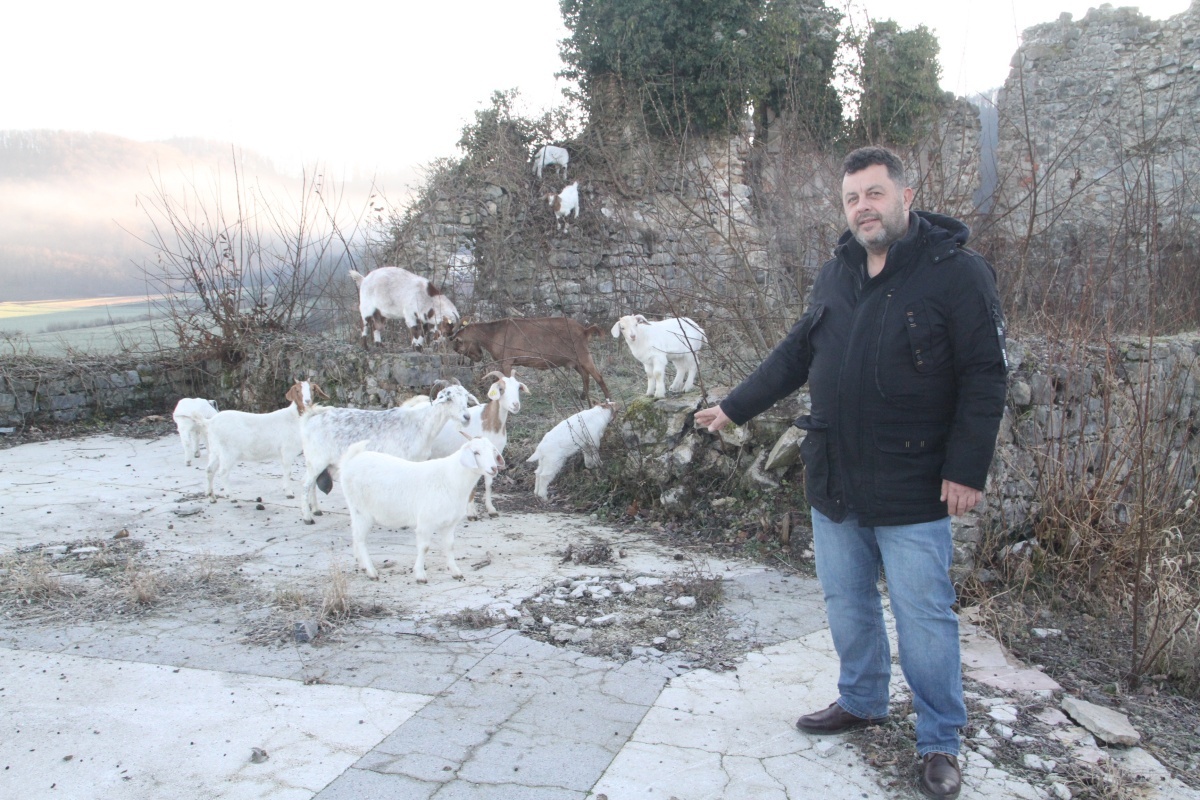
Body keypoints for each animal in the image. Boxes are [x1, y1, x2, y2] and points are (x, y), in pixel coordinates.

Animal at [194, 381, 331, 501]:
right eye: (297, 390)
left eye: (312, 389)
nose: (307, 401)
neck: (295, 417)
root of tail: (210, 422)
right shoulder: (287, 450)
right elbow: (288, 472)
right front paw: (289, 493)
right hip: (228, 452)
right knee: (223, 472)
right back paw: (231, 496)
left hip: (215, 450)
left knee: (209, 470)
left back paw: (211, 497)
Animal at [296, 381, 477, 525]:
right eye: (449, 398)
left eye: (466, 397)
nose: (466, 417)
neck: (420, 423)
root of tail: (310, 419)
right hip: (317, 459)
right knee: (305, 483)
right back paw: (307, 517)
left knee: (311, 483)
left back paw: (316, 510)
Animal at [338, 438, 506, 582]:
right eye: (476, 453)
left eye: (493, 451)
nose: (493, 468)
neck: (452, 478)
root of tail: (351, 460)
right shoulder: (426, 522)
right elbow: (425, 547)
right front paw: (420, 575)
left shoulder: (449, 523)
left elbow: (449, 546)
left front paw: (455, 572)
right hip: (361, 510)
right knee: (360, 539)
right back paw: (371, 571)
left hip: (355, 509)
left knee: (355, 535)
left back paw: (362, 565)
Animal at [429, 369, 528, 520]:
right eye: (501, 388)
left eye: (518, 388)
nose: (515, 405)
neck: (489, 423)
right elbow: (474, 485)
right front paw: (471, 513)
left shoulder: (493, 455)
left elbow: (489, 483)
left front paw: (491, 509)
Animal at [453, 314, 614, 398]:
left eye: (460, 347)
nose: (478, 357)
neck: (494, 333)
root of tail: (584, 330)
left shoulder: (507, 361)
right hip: (575, 361)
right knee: (585, 376)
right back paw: (583, 396)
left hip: (583, 355)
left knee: (598, 376)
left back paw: (608, 398)